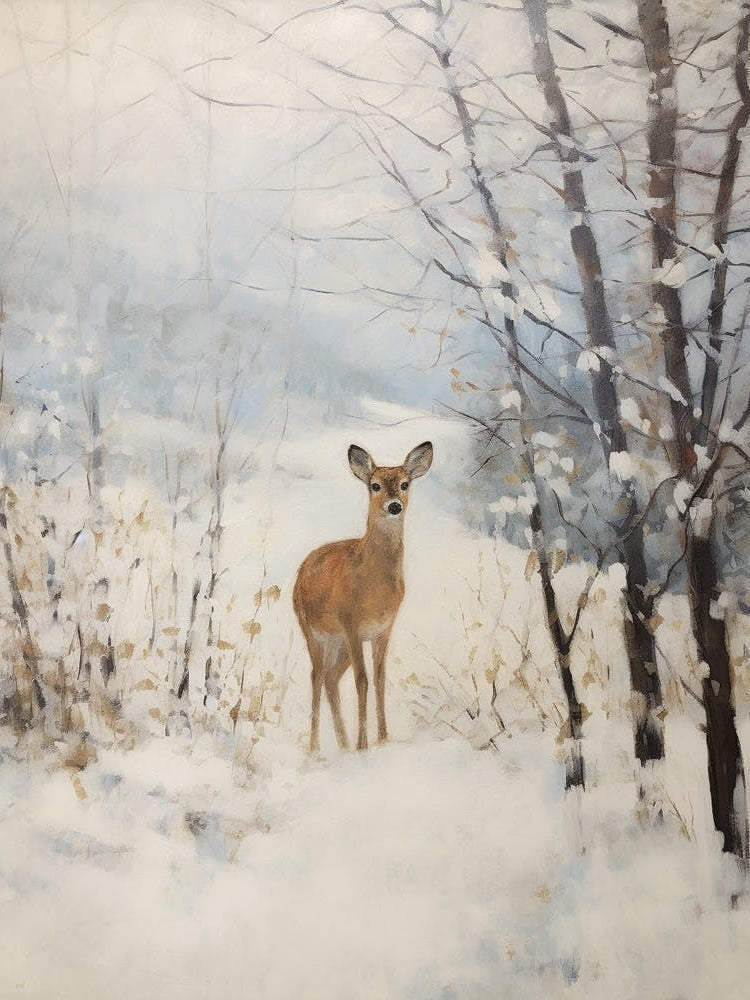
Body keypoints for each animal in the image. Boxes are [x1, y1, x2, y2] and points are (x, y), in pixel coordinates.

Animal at [293, 441, 433, 752]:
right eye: (375, 485)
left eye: (405, 484)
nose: (394, 506)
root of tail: (301, 570)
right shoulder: (352, 624)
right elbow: (362, 681)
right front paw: (364, 745)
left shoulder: (383, 629)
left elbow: (380, 680)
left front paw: (382, 740)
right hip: (312, 629)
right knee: (316, 676)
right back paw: (316, 747)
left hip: (339, 643)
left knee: (331, 678)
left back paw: (343, 744)